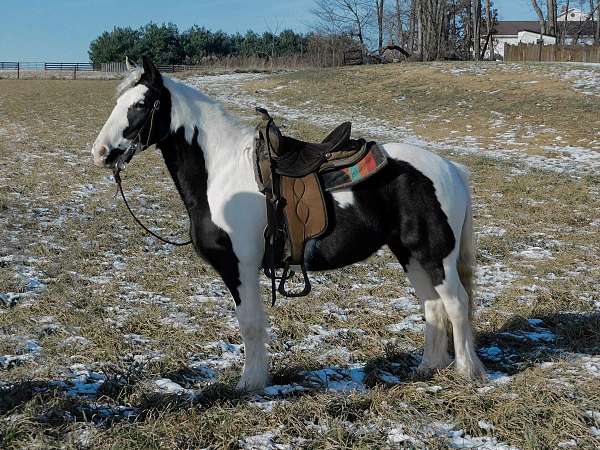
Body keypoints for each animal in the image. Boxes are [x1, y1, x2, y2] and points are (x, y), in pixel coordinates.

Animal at [94, 57, 488, 390]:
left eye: (141, 104)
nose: (100, 152)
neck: (221, 171)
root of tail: (451, 168)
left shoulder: (240, 267)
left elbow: (250, 324)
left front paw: (250, 384)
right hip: (410, 253)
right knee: (432, 304)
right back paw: (428, 367)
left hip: (436, 255)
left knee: (456, 303)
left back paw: (468, 372)